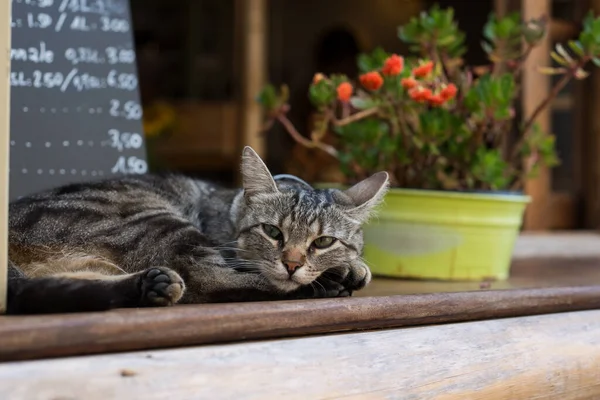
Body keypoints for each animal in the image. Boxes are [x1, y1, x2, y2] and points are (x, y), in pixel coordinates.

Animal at [7, 145, 390, 314]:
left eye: (323, 241)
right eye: (272, 232)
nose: (292, 264)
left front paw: (351, 267)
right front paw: (339, 274)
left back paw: (150, 286)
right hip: (156, 219)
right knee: (208, 281)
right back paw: (326, 287)